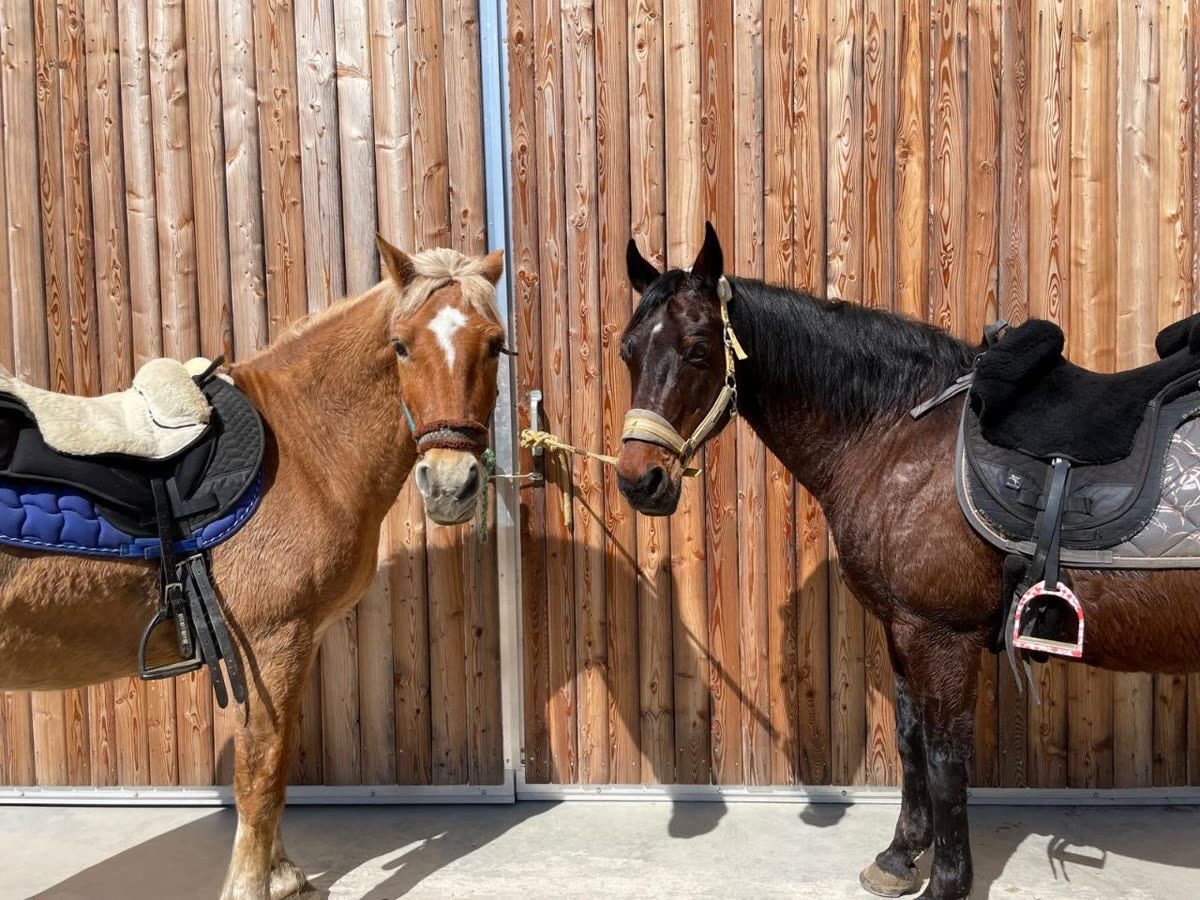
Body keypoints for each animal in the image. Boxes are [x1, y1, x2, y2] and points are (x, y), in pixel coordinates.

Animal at [0, 238, 507, 900]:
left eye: (494, 343)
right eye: (400, 345)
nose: (450, 486)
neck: (302, 448)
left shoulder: (291, 647)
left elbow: (280, 760)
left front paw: (283, 873)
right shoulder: (269, 643)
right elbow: (260, 775)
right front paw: (250, 885)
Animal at [615, 223, 1200, 900]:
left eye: (698, 348)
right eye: (628, 351)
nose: (640, 480)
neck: (898, 435)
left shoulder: (941, 637)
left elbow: (946, 758)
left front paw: (947, 880)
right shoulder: (902, 630)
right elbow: (910, 739)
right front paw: (900, 856)